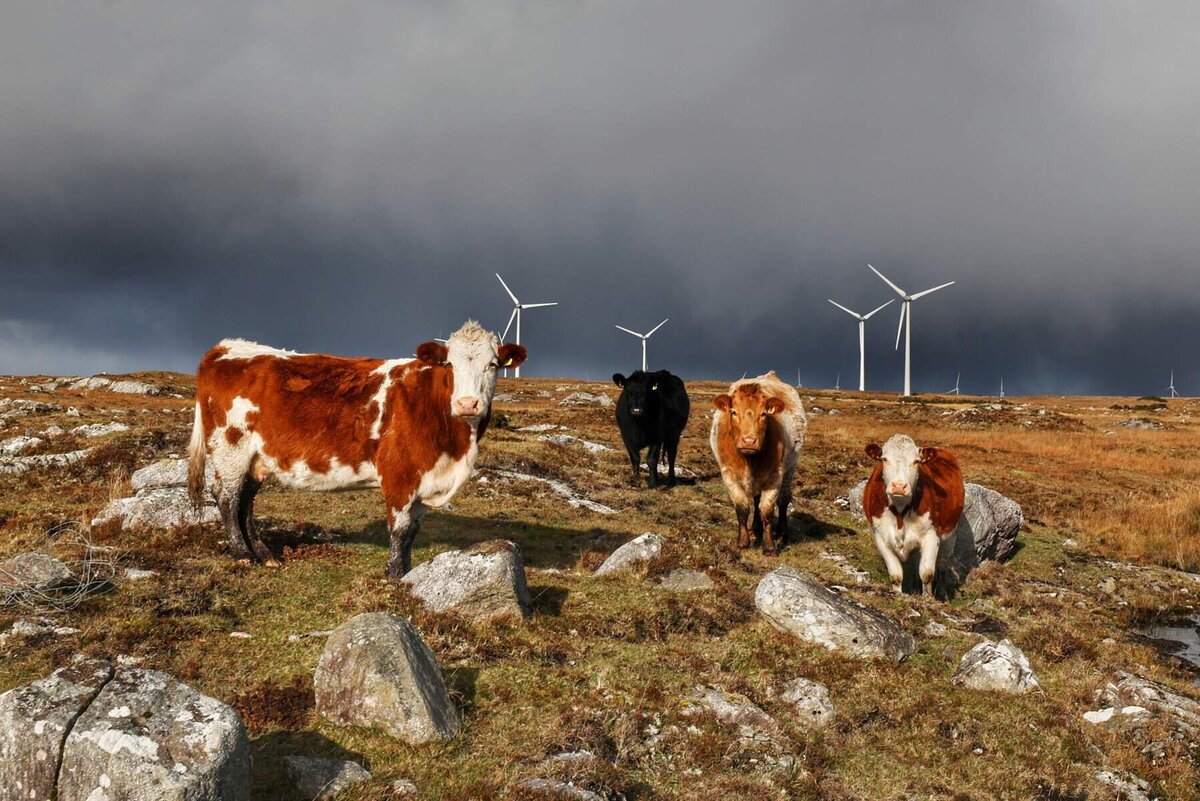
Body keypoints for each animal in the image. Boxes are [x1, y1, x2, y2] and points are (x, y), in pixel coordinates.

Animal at [187, 321, 525, 577]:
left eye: (493, 365)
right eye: (449, 364)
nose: (468, 403)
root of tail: (225, 347)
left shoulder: (424, 480)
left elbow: (413, 532)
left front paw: (407, 571)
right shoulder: (399, 474)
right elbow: (399, 529)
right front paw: (395, 576)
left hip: (257, 458)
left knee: (245, 501)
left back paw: (263, 553)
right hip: (230, 448)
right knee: (227, 498)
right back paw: (242, 553)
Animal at [705, 371, 811, 553]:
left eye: (763, 414)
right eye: (733, 412)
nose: (749, 441)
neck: (749, 460)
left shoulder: (775, 474)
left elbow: (767, 509)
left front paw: (769, 546)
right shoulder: (728, 473)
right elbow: (742, 507)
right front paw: (743, 542)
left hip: (790, 467)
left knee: (783, 500)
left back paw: (782, 533)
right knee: (756, 499)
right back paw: (756, 529)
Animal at [864, 434, 964, 597]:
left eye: (916, 461)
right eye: (884, 459)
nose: (899, 486)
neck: (900, 511)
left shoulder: (931, 536)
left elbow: (927, 574)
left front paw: (927, 598)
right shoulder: (881, 538)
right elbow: (896, 575)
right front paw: (898, 595)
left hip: (951, 534)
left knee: (943, 565)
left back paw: (942, 594)